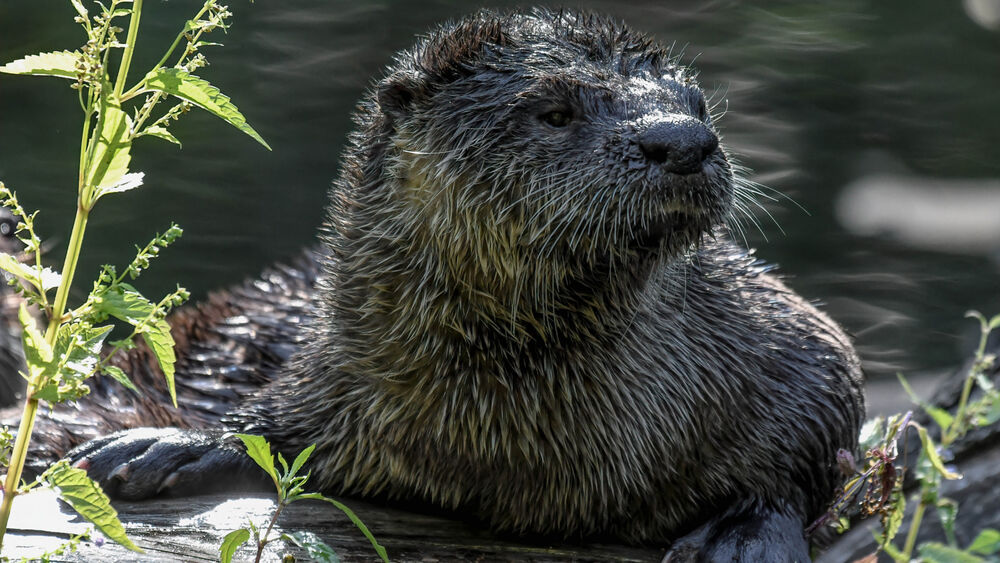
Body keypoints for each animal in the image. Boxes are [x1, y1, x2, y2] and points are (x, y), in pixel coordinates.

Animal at [23, 7, 868, 560]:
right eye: (554, 110)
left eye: (696, 104)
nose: (684, 141)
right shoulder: (343, 368)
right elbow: (280, 422)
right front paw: (177, 443)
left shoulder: (774, 335)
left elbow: (829, 398)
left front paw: (746, 526)